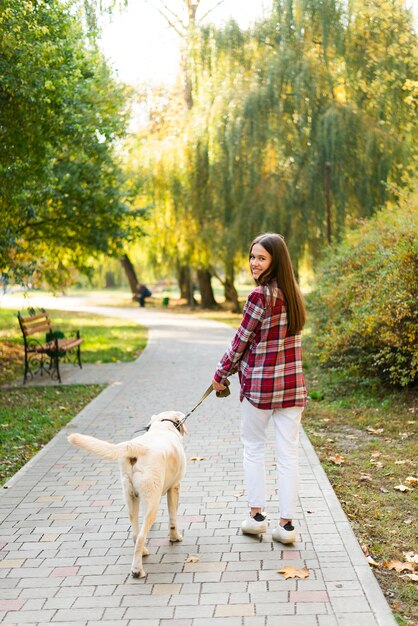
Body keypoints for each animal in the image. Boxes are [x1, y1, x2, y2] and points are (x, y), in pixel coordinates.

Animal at [68, 410, 186, 576]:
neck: (162, 427)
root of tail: (136, 446)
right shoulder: (174, 487)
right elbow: (173, 517)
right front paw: (175, 538)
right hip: (152, 500)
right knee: (141, 536)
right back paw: (137, 570)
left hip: (131, 498)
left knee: (135, 534)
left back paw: (143, 553)